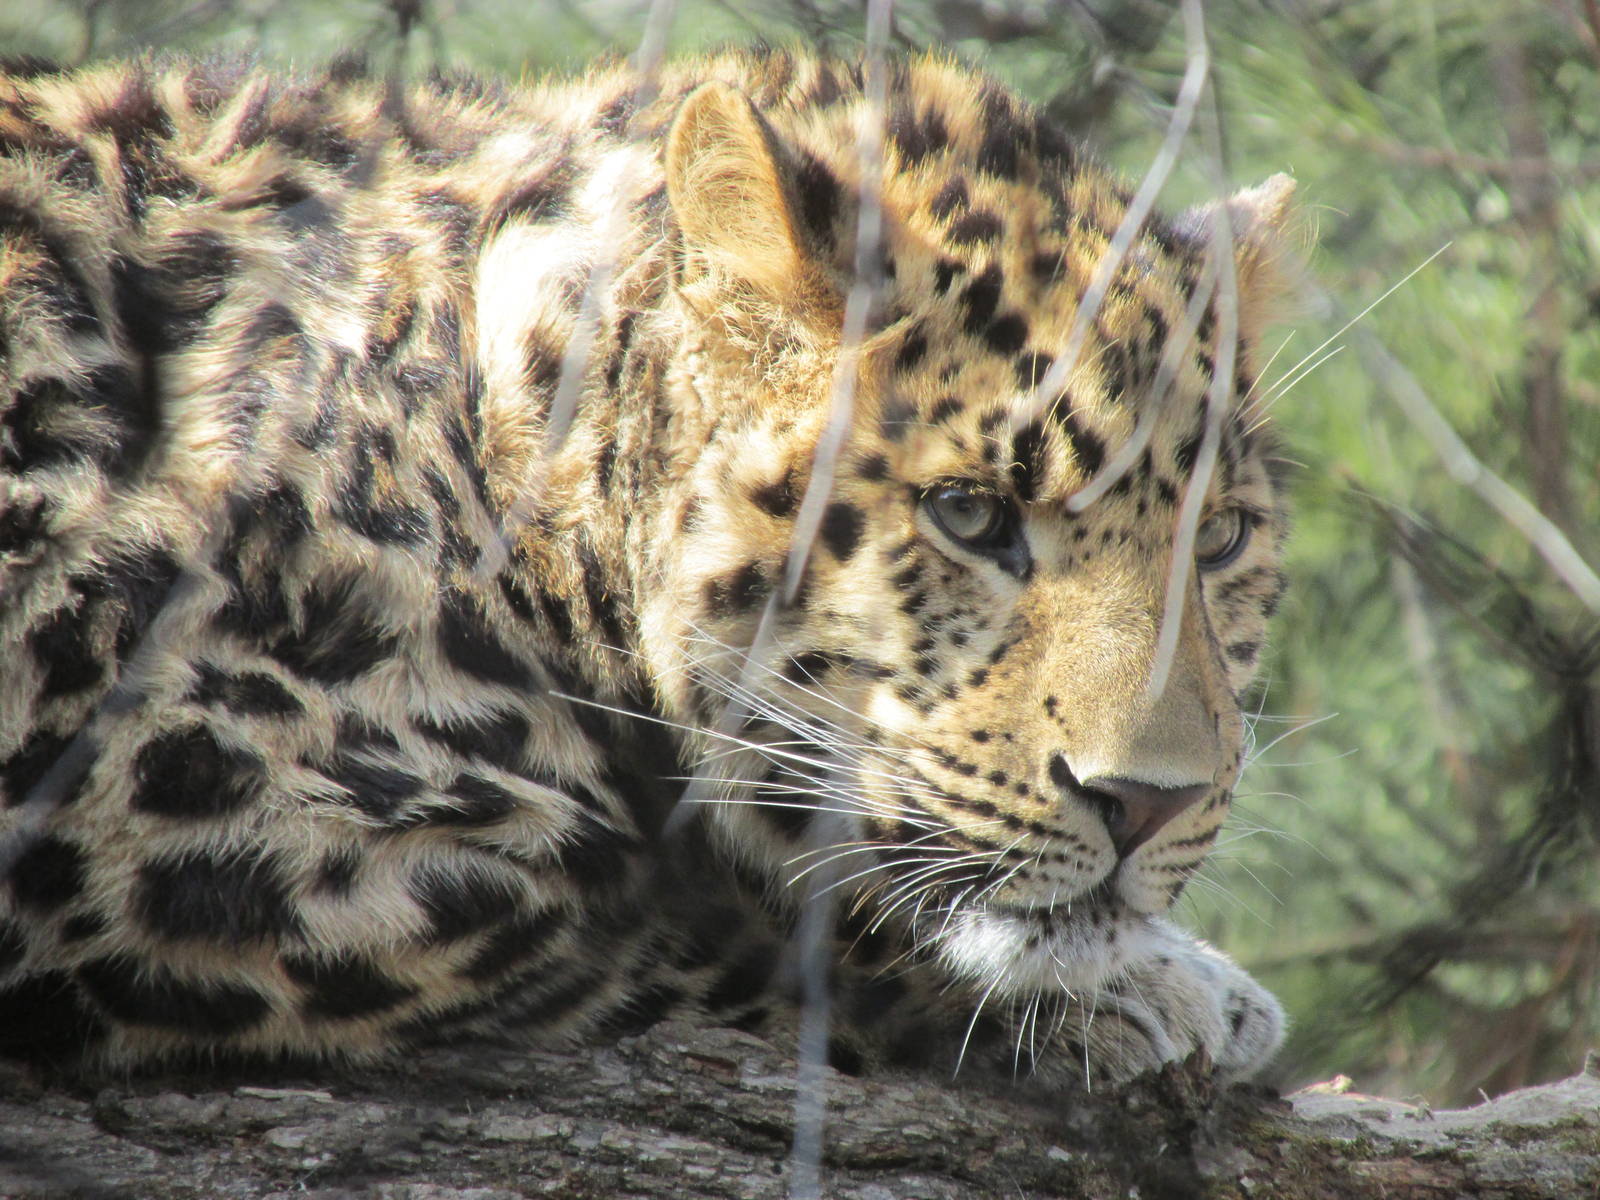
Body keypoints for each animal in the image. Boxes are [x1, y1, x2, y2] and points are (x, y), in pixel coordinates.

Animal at [0, 45, 1300, 1088]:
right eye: (969, 515)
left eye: (1219, 538)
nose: (1147, 802)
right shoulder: (182, 801)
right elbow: (699, 933)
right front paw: (1145, 993)